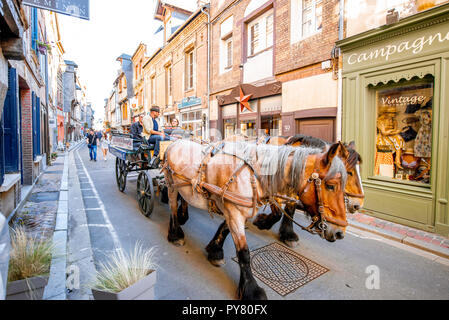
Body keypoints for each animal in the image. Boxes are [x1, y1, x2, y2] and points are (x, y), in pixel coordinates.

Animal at [163, 139, 348, 298]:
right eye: (331, 186)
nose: (339, 232)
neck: (253, 176)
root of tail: (175, 142)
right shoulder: (234, 212)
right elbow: (244, 253)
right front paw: (251, 290)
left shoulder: (238, 211)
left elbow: (224, 229)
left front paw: (215, 250)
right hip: (171, 183)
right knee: (172, 206)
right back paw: (175, 234)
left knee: (183, 199)